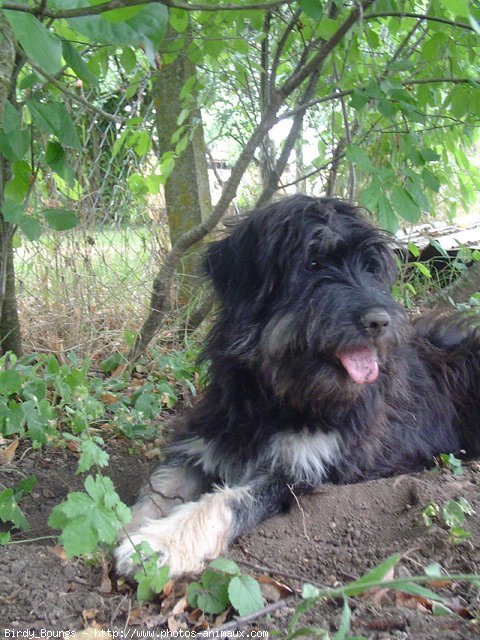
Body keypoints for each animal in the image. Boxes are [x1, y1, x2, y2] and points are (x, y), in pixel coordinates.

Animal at [115, 194, 480, 576]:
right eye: (312, 262)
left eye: (370, 267)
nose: (380, 321)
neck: (275, 396)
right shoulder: (207, 440)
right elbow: (159, 484)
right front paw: (125, 526)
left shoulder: (299, 470)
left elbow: (226, 500)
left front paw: (159, 543)